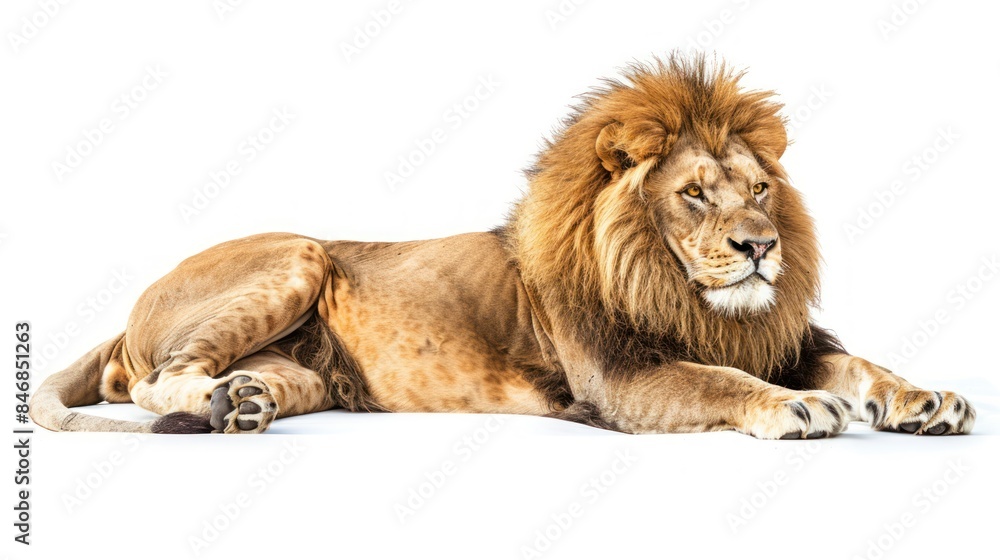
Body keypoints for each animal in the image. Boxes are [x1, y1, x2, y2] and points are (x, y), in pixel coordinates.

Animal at [30, 54, 975, 438]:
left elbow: (864, 364)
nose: (760, 247)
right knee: (149, 381)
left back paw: (246, 401)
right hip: (298, 255)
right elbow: (720, 380)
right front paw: (796, 409)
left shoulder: (782, 336)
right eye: (694, 194)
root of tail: (130, 310)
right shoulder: (622, 379)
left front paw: (926, 399)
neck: (689, 295)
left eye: (761, 190)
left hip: (312, 367)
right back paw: (219, 399)